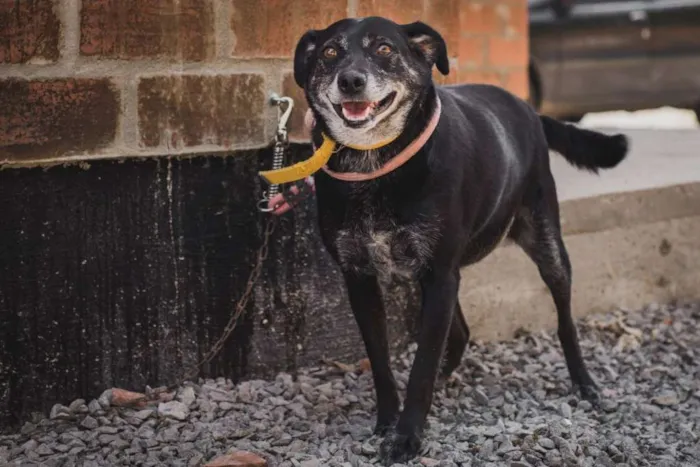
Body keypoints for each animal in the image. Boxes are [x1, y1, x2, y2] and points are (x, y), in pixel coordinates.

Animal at [290, 15, 628, 464]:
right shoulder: (362, 278)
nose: (351, 81)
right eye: (329, 52)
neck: (375, 166)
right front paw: (387, 420)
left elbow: (420, 367)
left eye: (384, 49)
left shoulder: (439, 274)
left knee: (564, 319)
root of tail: (529, 110)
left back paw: (584, 382)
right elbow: (381, 360)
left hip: (546, 245)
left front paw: (407, 436)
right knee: (461, 332)